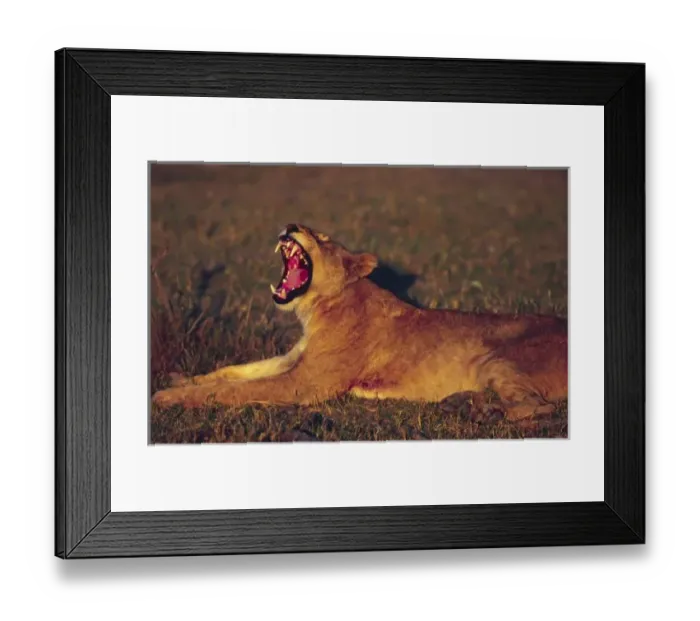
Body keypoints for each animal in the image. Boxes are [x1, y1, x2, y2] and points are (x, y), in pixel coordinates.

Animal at [152, 223, 568, 420]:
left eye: (322, 237)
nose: (291, 225)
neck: (316, 309)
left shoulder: (306, 383)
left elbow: (234, 390)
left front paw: (168, 398)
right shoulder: (292, 361)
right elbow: (232, 372)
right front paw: (179, 380)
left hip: (498, 359)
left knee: (541, 407)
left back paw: (485, 410)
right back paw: (462, 402)